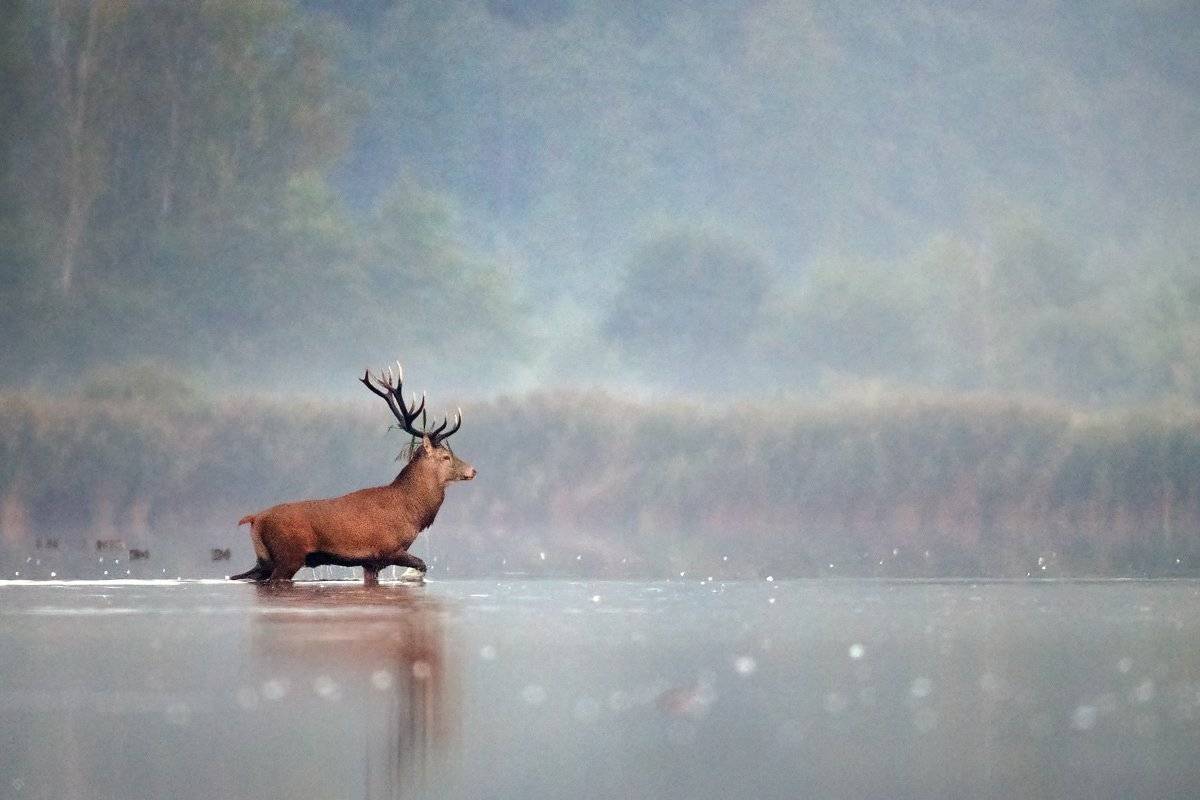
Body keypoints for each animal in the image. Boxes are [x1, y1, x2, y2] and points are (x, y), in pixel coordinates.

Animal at [230, 361, 476, 585]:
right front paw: (409, 576)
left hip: (264, 559)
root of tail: (254, 519)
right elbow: (422, 564)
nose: (473, 470)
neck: (412, 513)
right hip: (288, 555)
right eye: (446, 456)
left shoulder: (371, 562)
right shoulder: (387, 549)